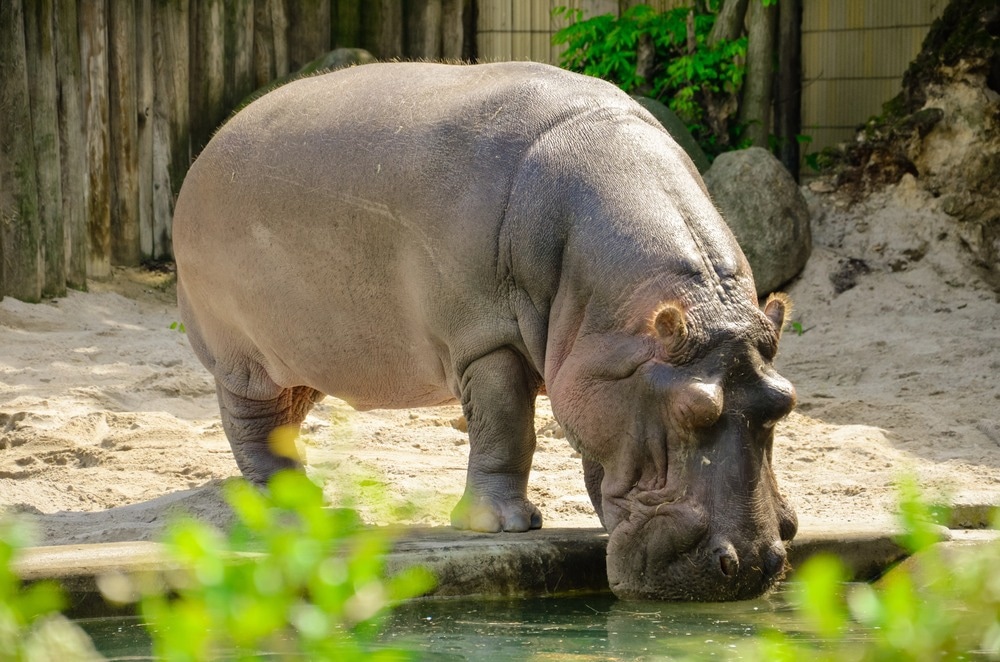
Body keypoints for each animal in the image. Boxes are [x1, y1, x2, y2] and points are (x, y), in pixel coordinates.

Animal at [173, 61, 798, 601]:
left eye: (785, 401)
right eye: (689, 410)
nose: (751, 564)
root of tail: (208, 149)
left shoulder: (597, 364)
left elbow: (594, 450)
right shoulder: (486, 340)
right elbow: (505, 428)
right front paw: (502, 525)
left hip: (306, 354)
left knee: (287, 415)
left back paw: (305, 501)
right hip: (242, 355)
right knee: (252, 423)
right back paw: (283, 507)